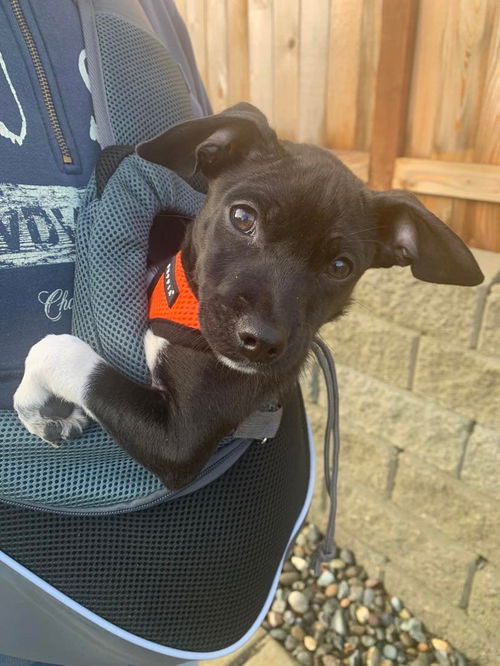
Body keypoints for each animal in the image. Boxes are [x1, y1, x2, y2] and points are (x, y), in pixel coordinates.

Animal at [13, 104, 484, 488]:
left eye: (340, 267)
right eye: (242, 218)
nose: (259, 341)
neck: (184, 307)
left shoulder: (180, 439)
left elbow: (58, 352)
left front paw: (32, 403)